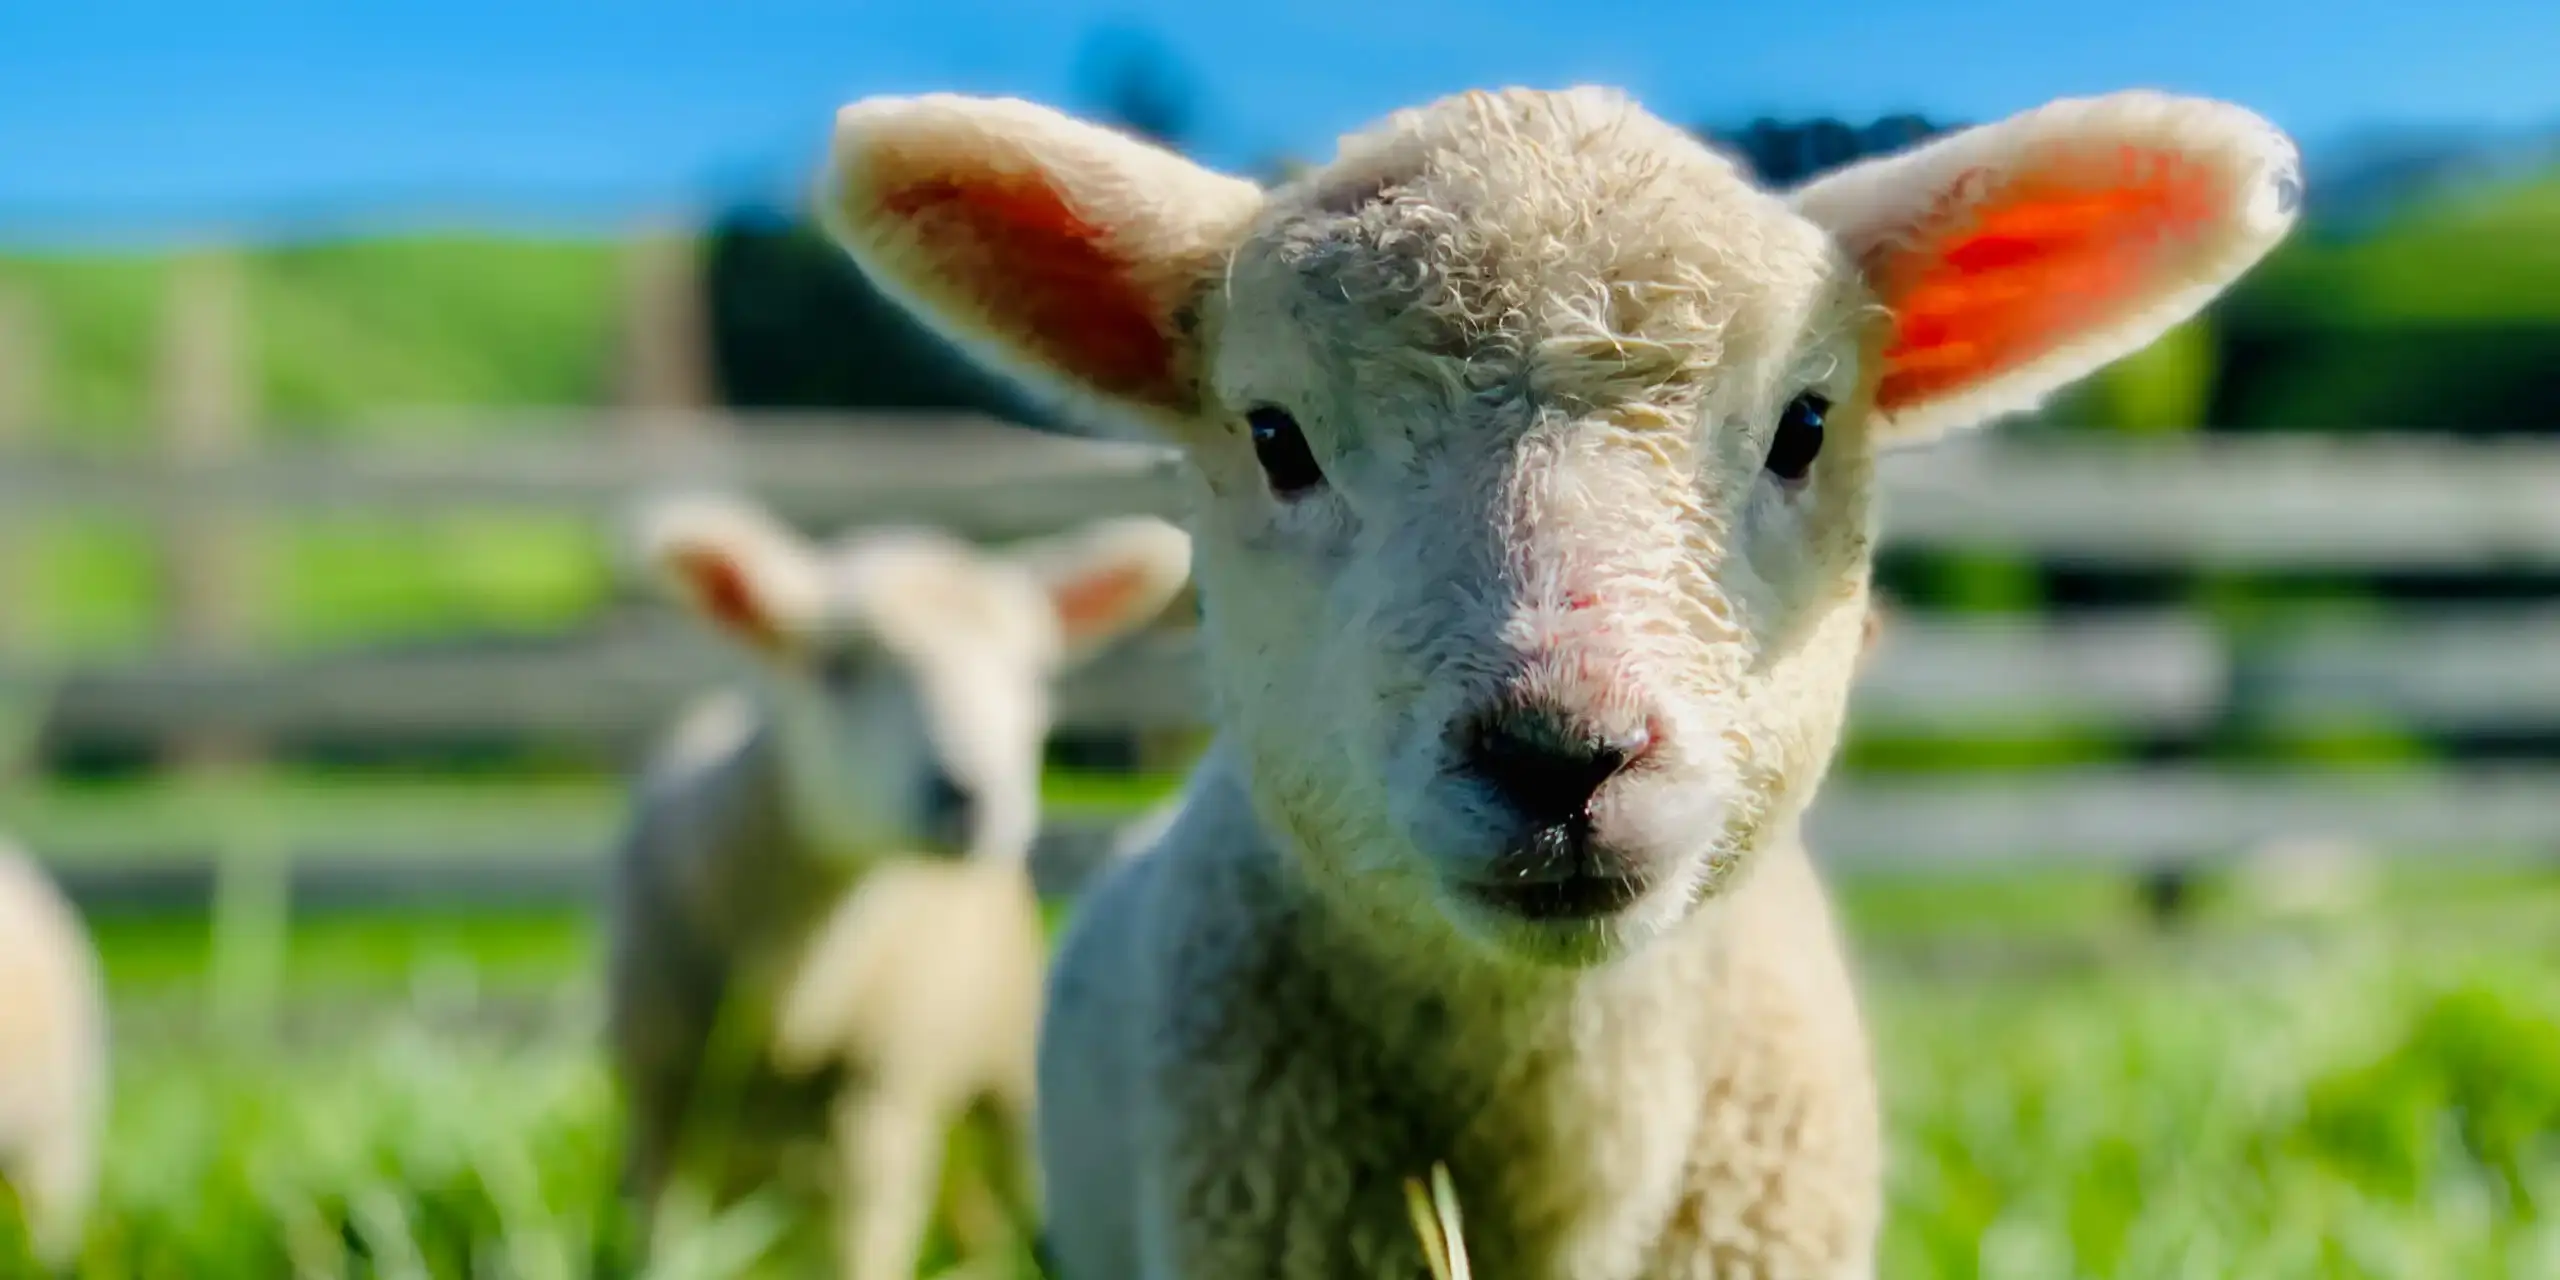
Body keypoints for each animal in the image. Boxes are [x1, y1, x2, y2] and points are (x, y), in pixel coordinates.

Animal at [602, 493, 1191, 1277]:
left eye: (1033, 675)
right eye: (835, 668)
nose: (969, 798)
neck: (788, 1000)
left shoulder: (878, 1110)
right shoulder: (660, 1111)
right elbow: (665, 1252)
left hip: (1006, 1071)